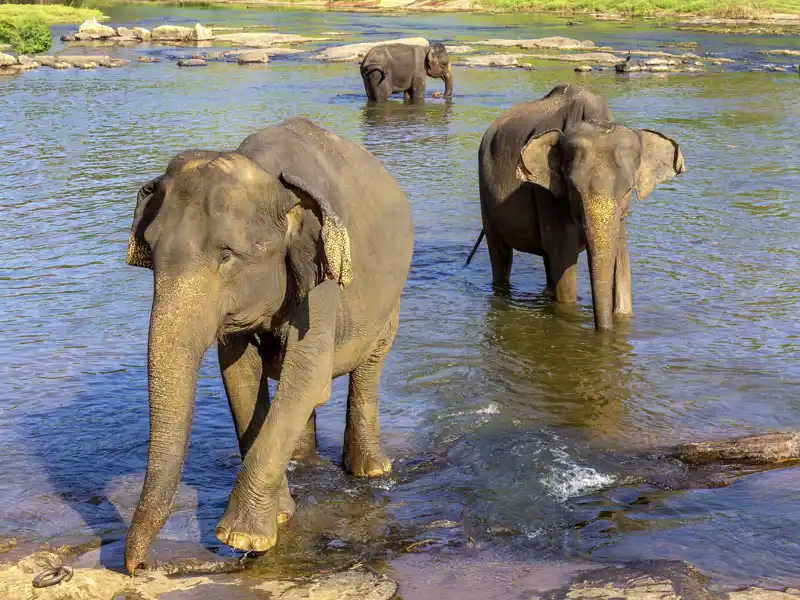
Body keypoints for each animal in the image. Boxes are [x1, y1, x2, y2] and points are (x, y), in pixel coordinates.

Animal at [123, 116, 418, 572]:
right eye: (151, 253)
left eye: (226, 255)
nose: (139, 566)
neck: (268, 176)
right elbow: (240, 379)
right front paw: (280, 514)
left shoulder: (323, 282)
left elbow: (307, 376)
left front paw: (242, 537)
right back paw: (302, 462)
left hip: (390, 303)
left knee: (368, 368)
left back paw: (371, 471)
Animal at [472, 84, 684, 328]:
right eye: (573, 189)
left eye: (628, 191)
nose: (603, 329)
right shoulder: (549, 198)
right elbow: (564, 259)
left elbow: (621, 261)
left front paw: (621, 315)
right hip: (485, 197)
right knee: (501, 255)